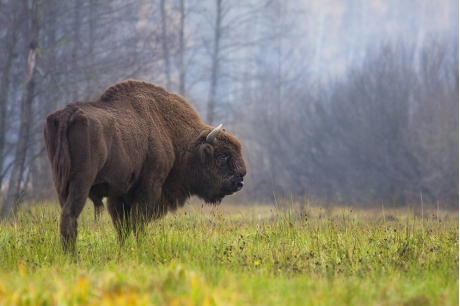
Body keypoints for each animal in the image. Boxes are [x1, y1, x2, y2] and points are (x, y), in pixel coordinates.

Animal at [43, 79, 246, 251]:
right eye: (223, 155)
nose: (240, 181)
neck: (171, 133)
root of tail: (68, 111)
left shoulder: (119, 195)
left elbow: (123, 226)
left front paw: (123, 250)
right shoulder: (149, 187)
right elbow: (137, 222)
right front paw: (141, 248)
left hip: (60, 183)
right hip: (82, 181)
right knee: (70, 214)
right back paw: (71, 255)